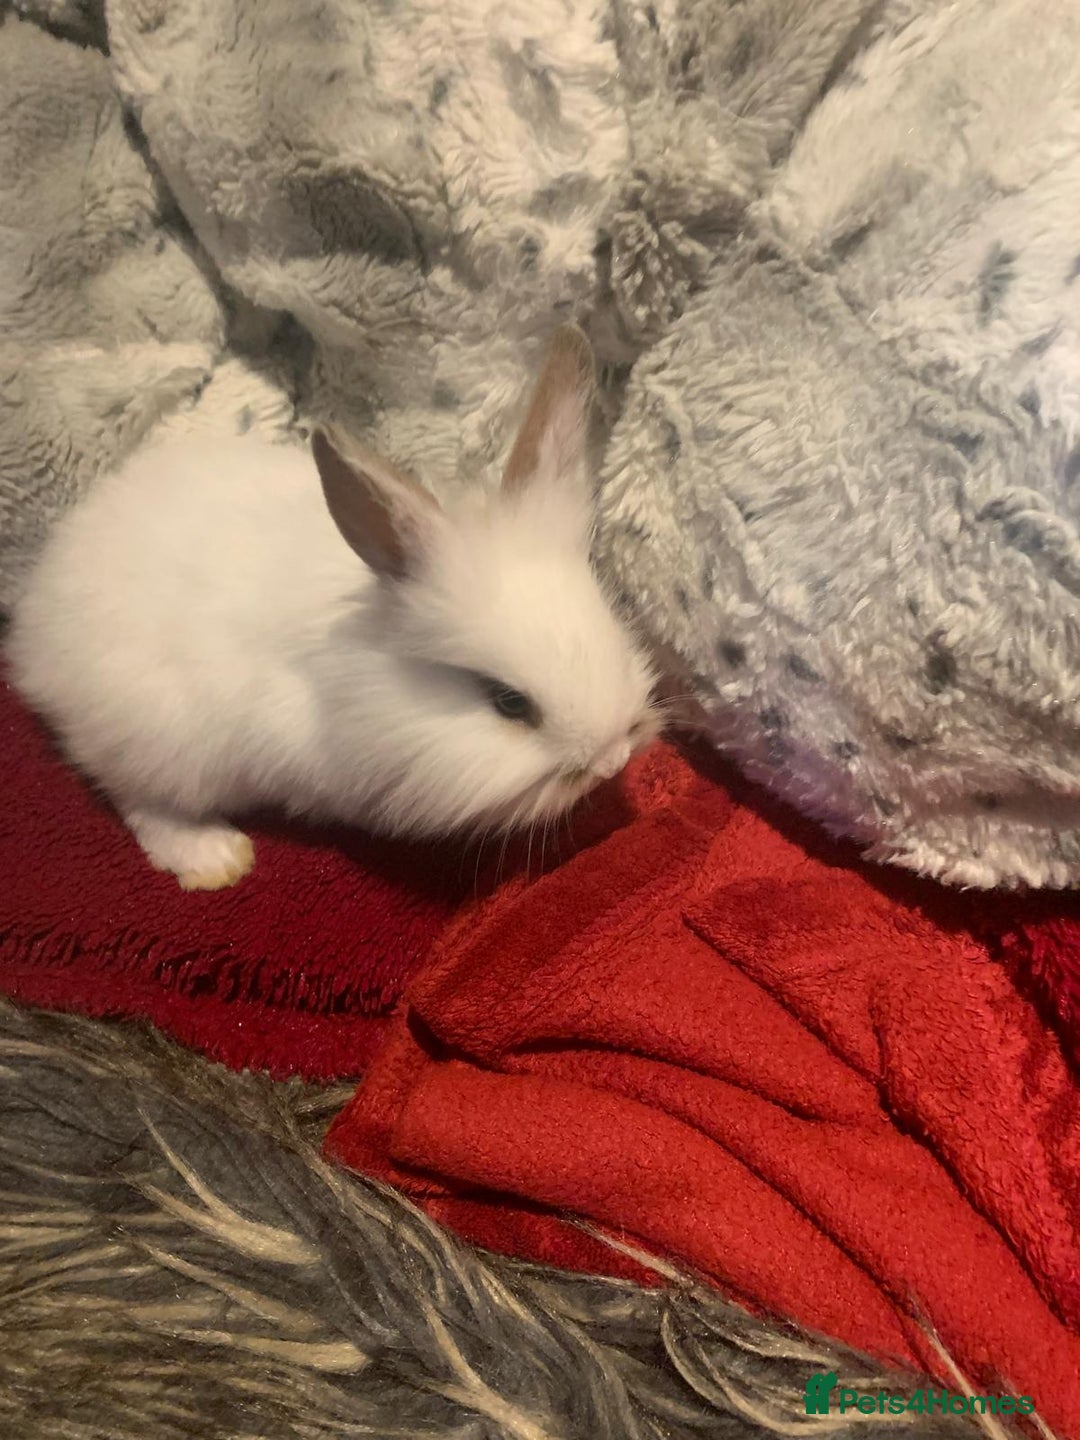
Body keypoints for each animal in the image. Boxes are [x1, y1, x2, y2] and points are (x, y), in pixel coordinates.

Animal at [6, 326, 660, 891]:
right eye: (508, 702)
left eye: (614, 632)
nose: (611, 761)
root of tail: (35, 623)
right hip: (161, 737)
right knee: (135, 795)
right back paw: (215, 857)